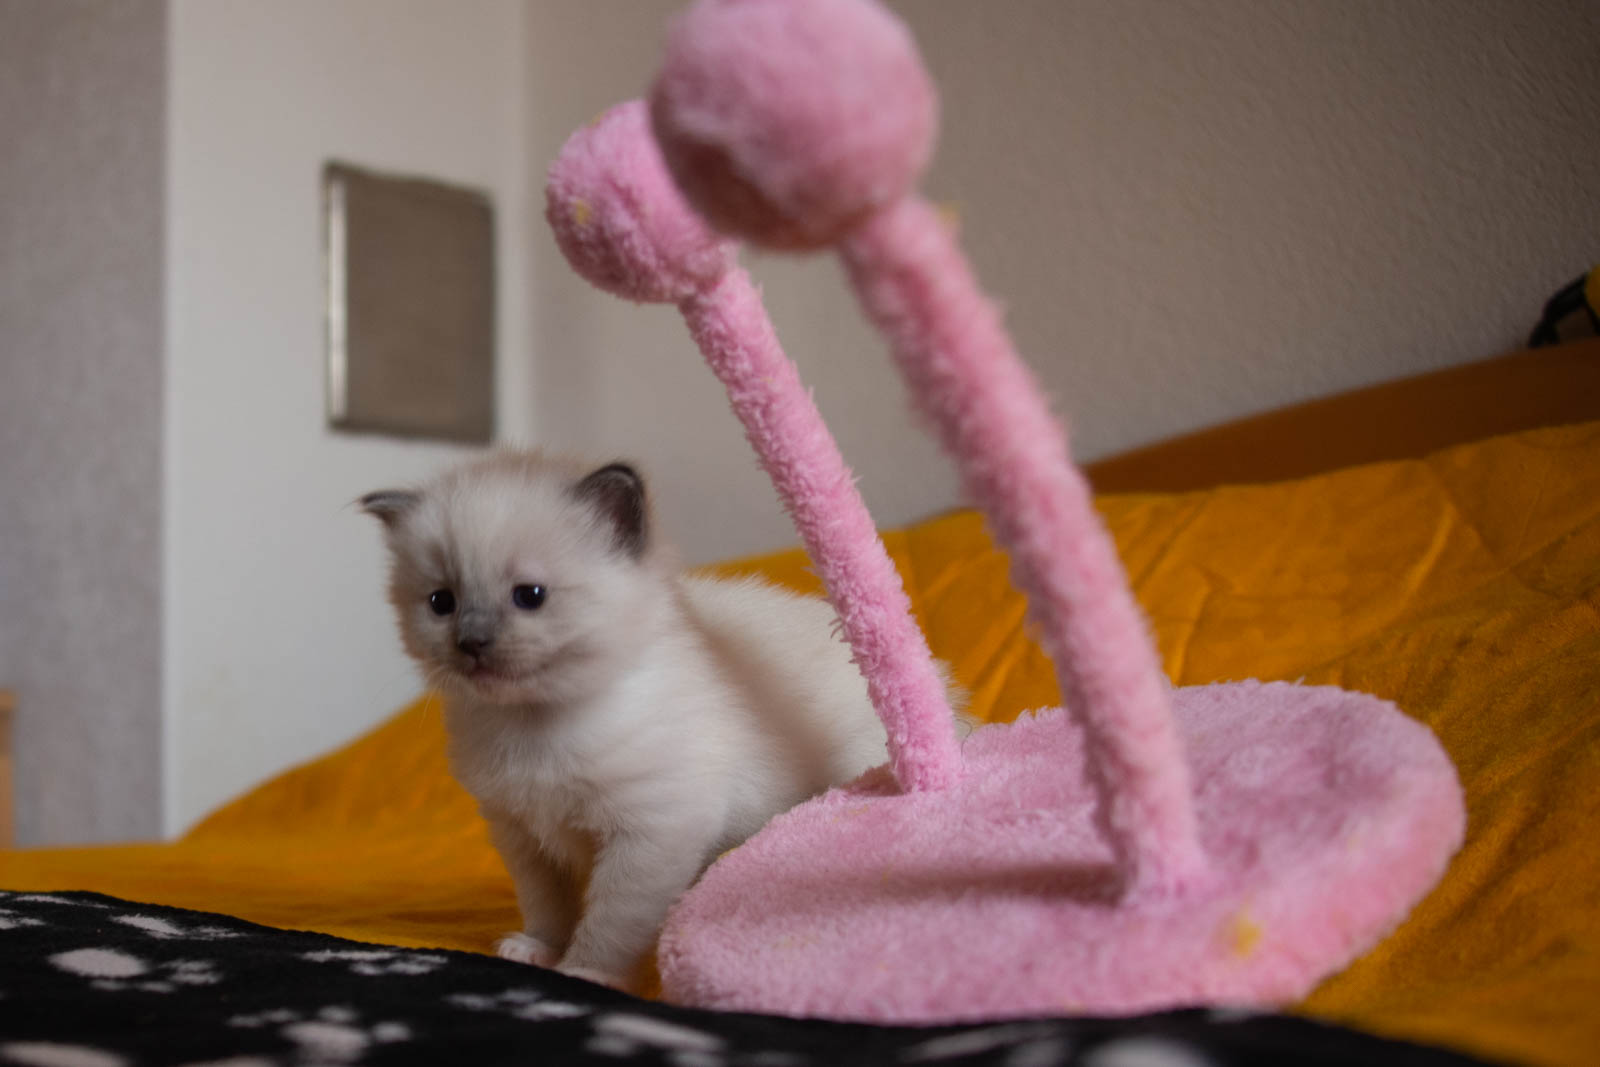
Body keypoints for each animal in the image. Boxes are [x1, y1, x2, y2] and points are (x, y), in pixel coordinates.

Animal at [361, 449, 955, 990]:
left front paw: (586, 972)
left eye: (530, 596)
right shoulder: (523, 835)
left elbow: (610, 920)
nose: (471, 644)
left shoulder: (650, 832)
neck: (536, 723)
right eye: (441, 602)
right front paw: (536, 950)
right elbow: (548, 905)